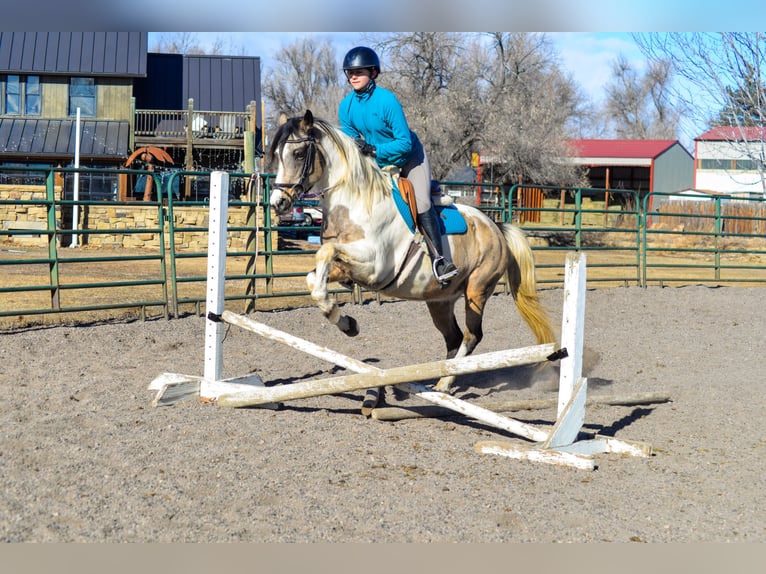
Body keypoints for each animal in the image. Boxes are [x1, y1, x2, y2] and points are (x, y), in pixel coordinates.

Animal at [268, 109, 556, 394]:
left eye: (299, 154)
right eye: (277, 155)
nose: (277, 203)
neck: (356, 203)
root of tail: (496, 227)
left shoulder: (375, 266)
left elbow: (325, 251)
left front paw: (344, 321)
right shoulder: (347, 266)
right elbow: (314, 279)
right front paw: (347, 323)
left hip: (477, 289)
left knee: (472, 335)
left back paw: (444, 383)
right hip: (439, 300)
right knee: (453, 337)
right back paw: (441, 381)